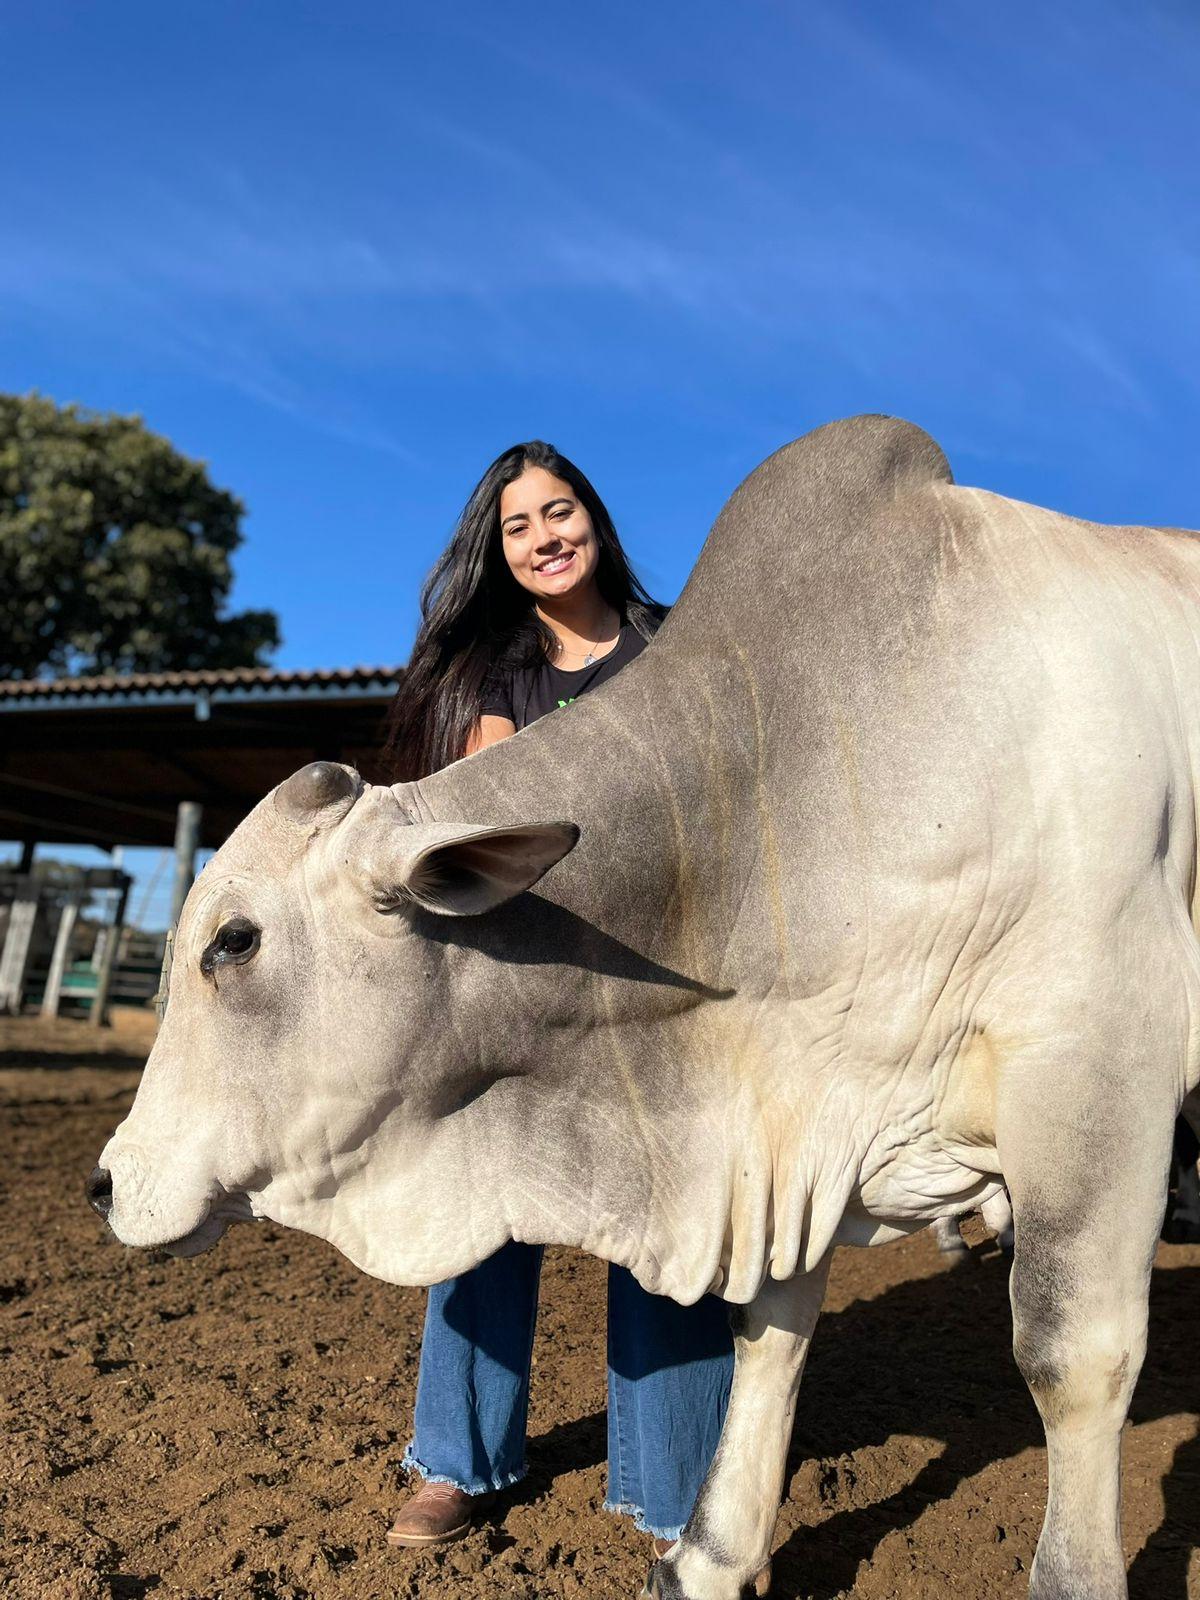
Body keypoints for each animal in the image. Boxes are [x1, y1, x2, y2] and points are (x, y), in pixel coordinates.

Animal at [89, 422, 1200, 1600]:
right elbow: (770, 1331)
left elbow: (1070, 1353)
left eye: (233, 941)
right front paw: (709, 1555)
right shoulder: (799, 1120)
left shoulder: (1100, 1065)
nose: (106, 1183)